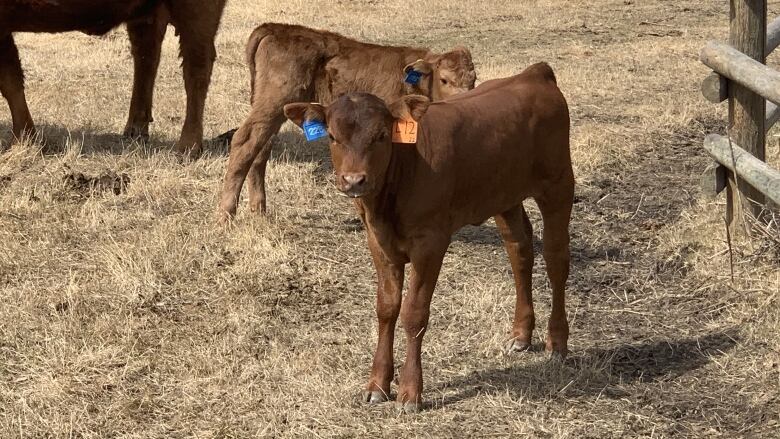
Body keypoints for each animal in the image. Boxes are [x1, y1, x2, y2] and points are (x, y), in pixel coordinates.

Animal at [0, 0, 225, 156]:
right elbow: (12, 82)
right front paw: (25, 139)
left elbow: (10, 82)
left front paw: (21, 141)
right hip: (147, 14)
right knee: (146, 57)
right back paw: (135, 132)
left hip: (197, 12)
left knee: (196, 70)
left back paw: (188, 148)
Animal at [216, 23, 478, 219]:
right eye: (444, 80)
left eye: (474, 80)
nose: (465, 99)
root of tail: (274, 28)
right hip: (273, 101)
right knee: (245, 141)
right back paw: (226, 214)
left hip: (271, 107)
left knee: (261, 146)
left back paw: (258, 210)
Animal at [284, 63, 572, 414]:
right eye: (332, 136)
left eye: (381, 136)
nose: (353, 180)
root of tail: (534, 74)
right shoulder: (378, 241)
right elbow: (387, 308)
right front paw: (377, 384)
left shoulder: (430, 242)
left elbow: (414, 313)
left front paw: (410, 392)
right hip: (505, 196)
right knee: (519, 250)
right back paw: (521, 334)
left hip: (558, 185)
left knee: (556, 258)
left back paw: (557, 341)